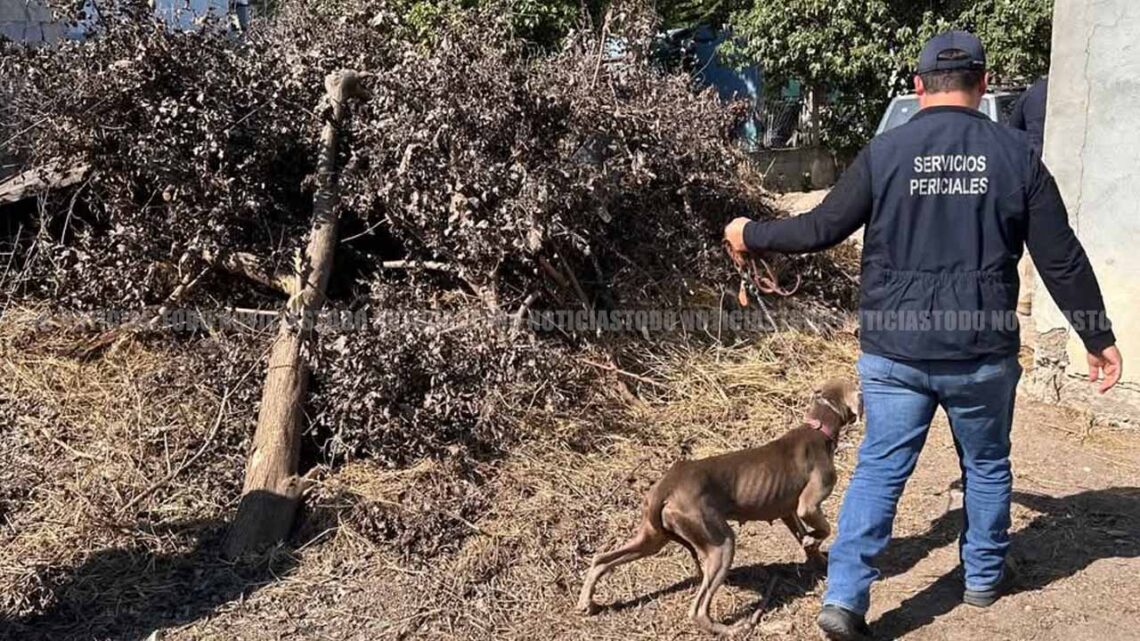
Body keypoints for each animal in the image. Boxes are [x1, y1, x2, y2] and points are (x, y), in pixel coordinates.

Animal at [576, 378, 861, 634]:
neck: (818, 426)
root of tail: (666, 487)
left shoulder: (787, 512)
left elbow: (805, 538)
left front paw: (819, 560)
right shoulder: (807, 506)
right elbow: (824, 528)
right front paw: (815, 543)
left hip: (652, 537)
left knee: (601, 559)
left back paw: (586, 602)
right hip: (720, 543)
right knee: (698, 610)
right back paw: (731, 629)